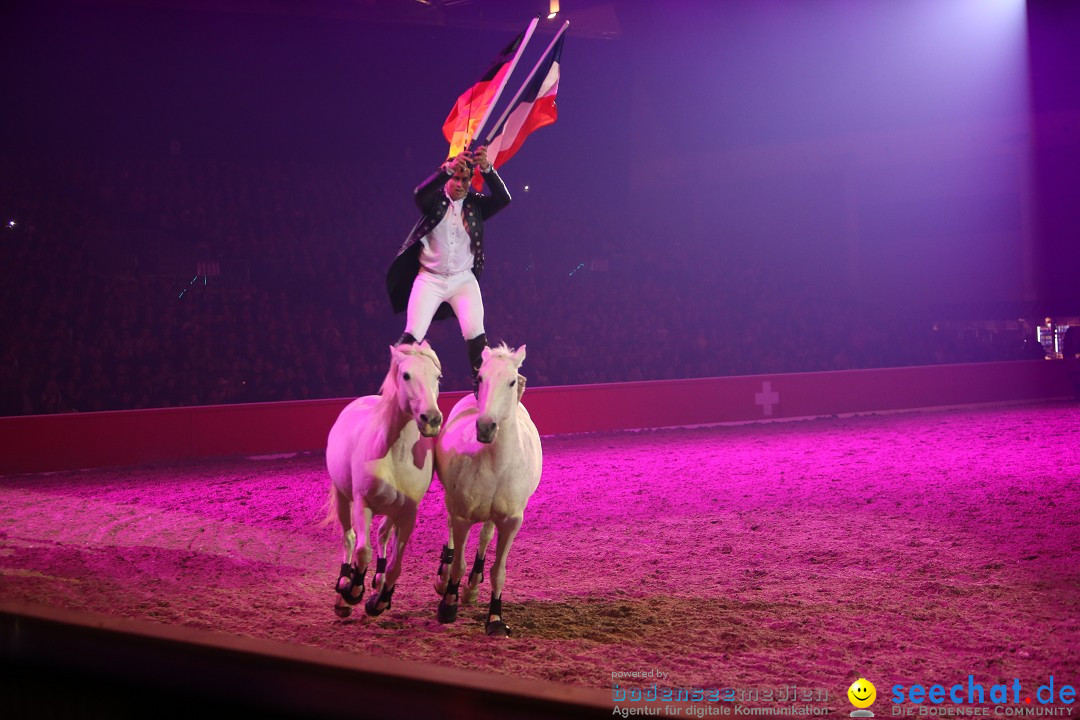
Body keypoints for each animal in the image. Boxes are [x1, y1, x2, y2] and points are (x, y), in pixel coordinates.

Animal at [324, 343, 442, 621]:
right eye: (406, 375)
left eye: (437, 377)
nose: (431, 419)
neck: (394, 454)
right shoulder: (362, 504)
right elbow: (362, 551)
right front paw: (353, 592)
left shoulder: (408, 513)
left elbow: (395, 566)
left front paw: (379, 601)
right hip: (343, 499)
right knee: (350, 538)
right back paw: (344, 589)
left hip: (392, 510)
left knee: (382, 535)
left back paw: (377, 580)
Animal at [434, 345, 544, 634]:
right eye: (480, 378)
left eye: (512, 381)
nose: (485, 426)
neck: (496, 464)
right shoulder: (462, 516)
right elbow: (458, 564)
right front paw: (448, 604)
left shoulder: (511, 521)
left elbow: (498, 572)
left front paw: (495, 618)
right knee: (450, 530)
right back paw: (445, 578)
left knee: (485, 536)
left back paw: (474, 583)